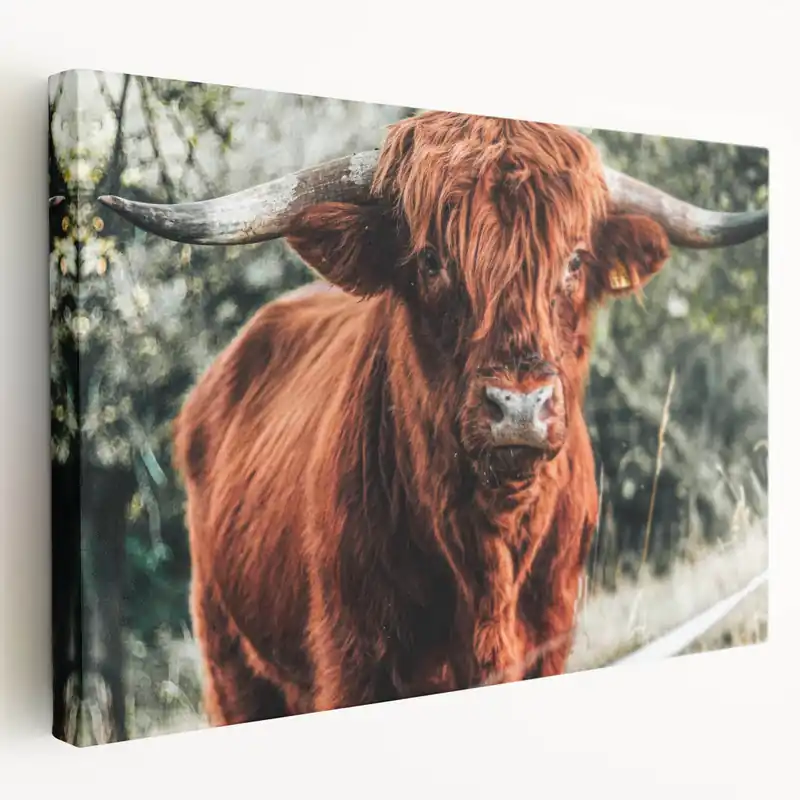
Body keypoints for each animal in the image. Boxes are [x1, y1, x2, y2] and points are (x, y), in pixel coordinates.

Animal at [99, 111, 767, 726]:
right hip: (228, 658)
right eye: (430, 260)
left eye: (576, 261)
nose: (518, 406)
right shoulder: (353, 662)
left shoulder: (549, 643)